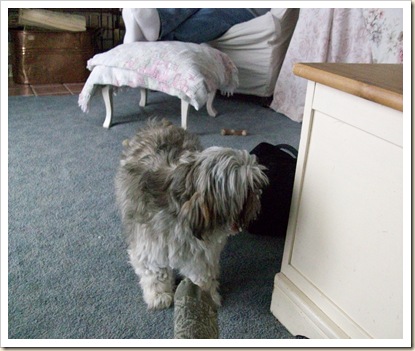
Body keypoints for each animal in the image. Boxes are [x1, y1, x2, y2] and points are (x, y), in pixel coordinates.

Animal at [115, 119, 268, 310]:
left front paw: (204, 296)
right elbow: (155, 273)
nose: (258, 194)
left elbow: (202, 276)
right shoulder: (151, 245)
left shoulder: (201, 255)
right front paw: (159, 295)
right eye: (248, 189)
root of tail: (157, 124)